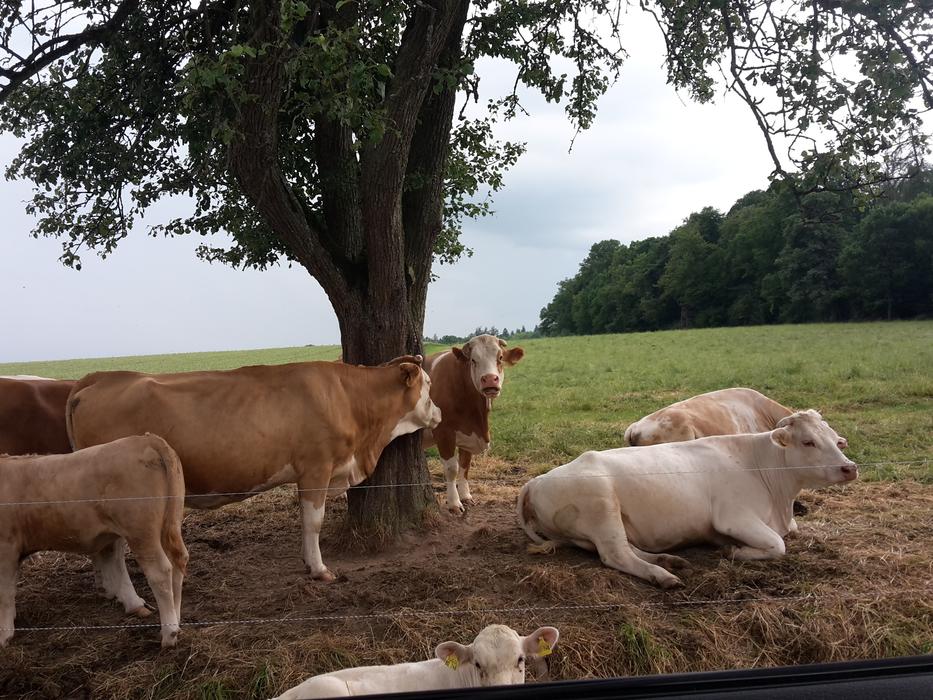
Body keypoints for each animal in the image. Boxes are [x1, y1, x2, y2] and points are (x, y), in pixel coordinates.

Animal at [0, 434, 188, 648]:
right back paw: (176, 622)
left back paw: (169, 633)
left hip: (141, 533)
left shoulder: (6, 548)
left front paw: (4, 635)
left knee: (160, 572)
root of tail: (144, 439)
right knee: (178, 562)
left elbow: (4, 593)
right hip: (170, 524)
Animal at [66, 357, 441, 582]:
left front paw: (307, 562)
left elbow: (304, 521)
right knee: (112, 549)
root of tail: (101, 378)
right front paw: (319, 569)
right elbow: (313, 521)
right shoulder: (316, 467)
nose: (439, 412)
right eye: (429, 385)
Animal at [423, 335, 524, 514]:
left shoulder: (467, 435)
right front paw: (454, 503)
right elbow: (451, 469)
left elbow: (465, 466)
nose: (490, 379)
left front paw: (466, 496)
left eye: (500, 357)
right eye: (473, 360)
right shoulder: (444, 432)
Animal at [518, 410, 857, 588]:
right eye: (808, 442)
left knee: (627, 548)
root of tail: (536, 480)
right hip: (602, 506)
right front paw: (733, 551)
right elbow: (778, 544)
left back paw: (669, 560)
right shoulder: (732, 518)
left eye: (835, 439)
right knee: (616, 555)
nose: (849, 467)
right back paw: (663, 575)